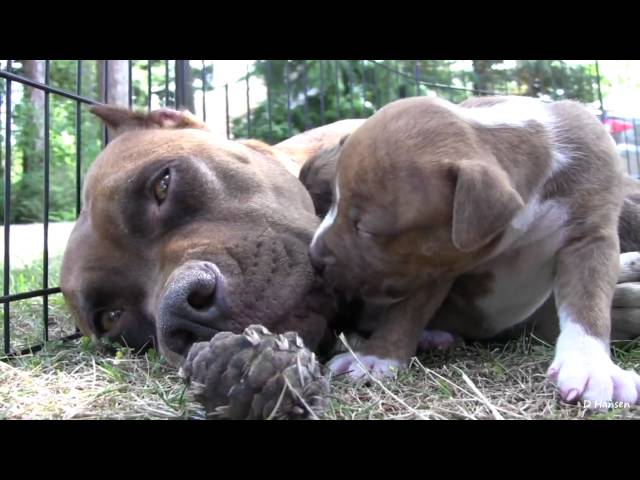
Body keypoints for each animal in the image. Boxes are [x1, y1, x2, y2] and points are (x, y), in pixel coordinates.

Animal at [308, 96, 636, 404]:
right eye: (332, 201)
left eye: (366, 228)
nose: (313, 257)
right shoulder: (432, 262)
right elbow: (406, 312)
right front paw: (375, 357)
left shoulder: (591, 237)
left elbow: (588, 302)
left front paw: (590, 365)